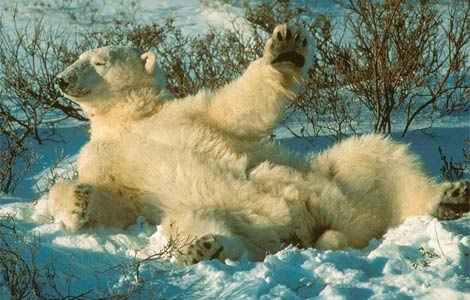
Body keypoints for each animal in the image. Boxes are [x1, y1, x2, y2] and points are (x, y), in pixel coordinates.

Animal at [49, 24, 468, 266]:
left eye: (98, 61)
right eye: (76, 58)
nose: (61, 79)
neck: (130, 119)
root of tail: (311, 225)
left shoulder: (189, 112)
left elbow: (239, 107)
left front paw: (287, 50)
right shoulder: (106, 158)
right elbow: (113, 202)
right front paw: (77, 199)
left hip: (338, 179)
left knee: (378, 156)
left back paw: (447, 198)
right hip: (229, 213)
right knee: (193, 223)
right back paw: (206, 248)